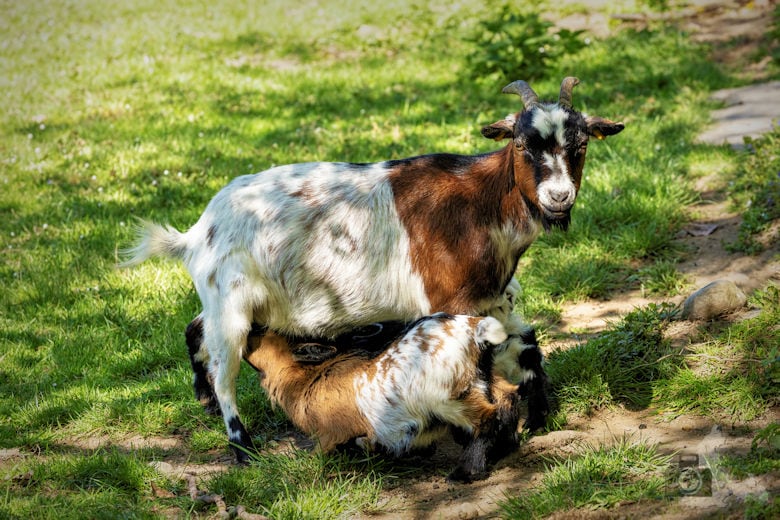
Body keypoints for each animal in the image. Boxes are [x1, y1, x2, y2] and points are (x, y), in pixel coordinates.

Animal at [125, 77, 624, 461]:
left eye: (581, 144)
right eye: (521, 143)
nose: (559, 197)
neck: (481, 204)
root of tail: (197, 231)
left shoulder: (495, 298)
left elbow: (529, 345)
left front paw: (541, 418)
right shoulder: (452, 302)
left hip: (235, 302)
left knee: (195, 330)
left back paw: (205, 401)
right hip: (230, 303)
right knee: (224, 369)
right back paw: (241, 446)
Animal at [187, 312, 525, 482]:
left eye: (258, 333)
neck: (305, 379)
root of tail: (476, 329)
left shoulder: (329, 436)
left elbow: (321, 454)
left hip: (451, 397)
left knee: (487, 418)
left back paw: (466, 473)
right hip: (483, 379)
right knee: (508, 399)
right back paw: (505, 448)